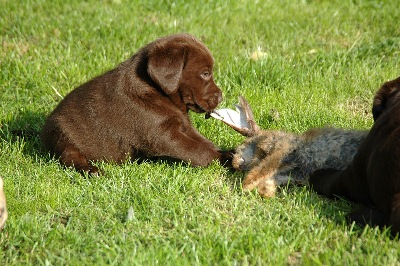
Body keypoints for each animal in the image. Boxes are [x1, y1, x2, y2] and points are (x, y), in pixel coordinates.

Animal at [40, 33, 231, 174]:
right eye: (205, 73)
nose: (221, 97)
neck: (155, 90)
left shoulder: (184, 127)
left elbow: (203, 142)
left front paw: (228, 153)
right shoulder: (163, 135)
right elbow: (197, 150)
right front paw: (223, 160)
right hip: (62, 135)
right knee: (70, 157)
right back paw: (90, 170)